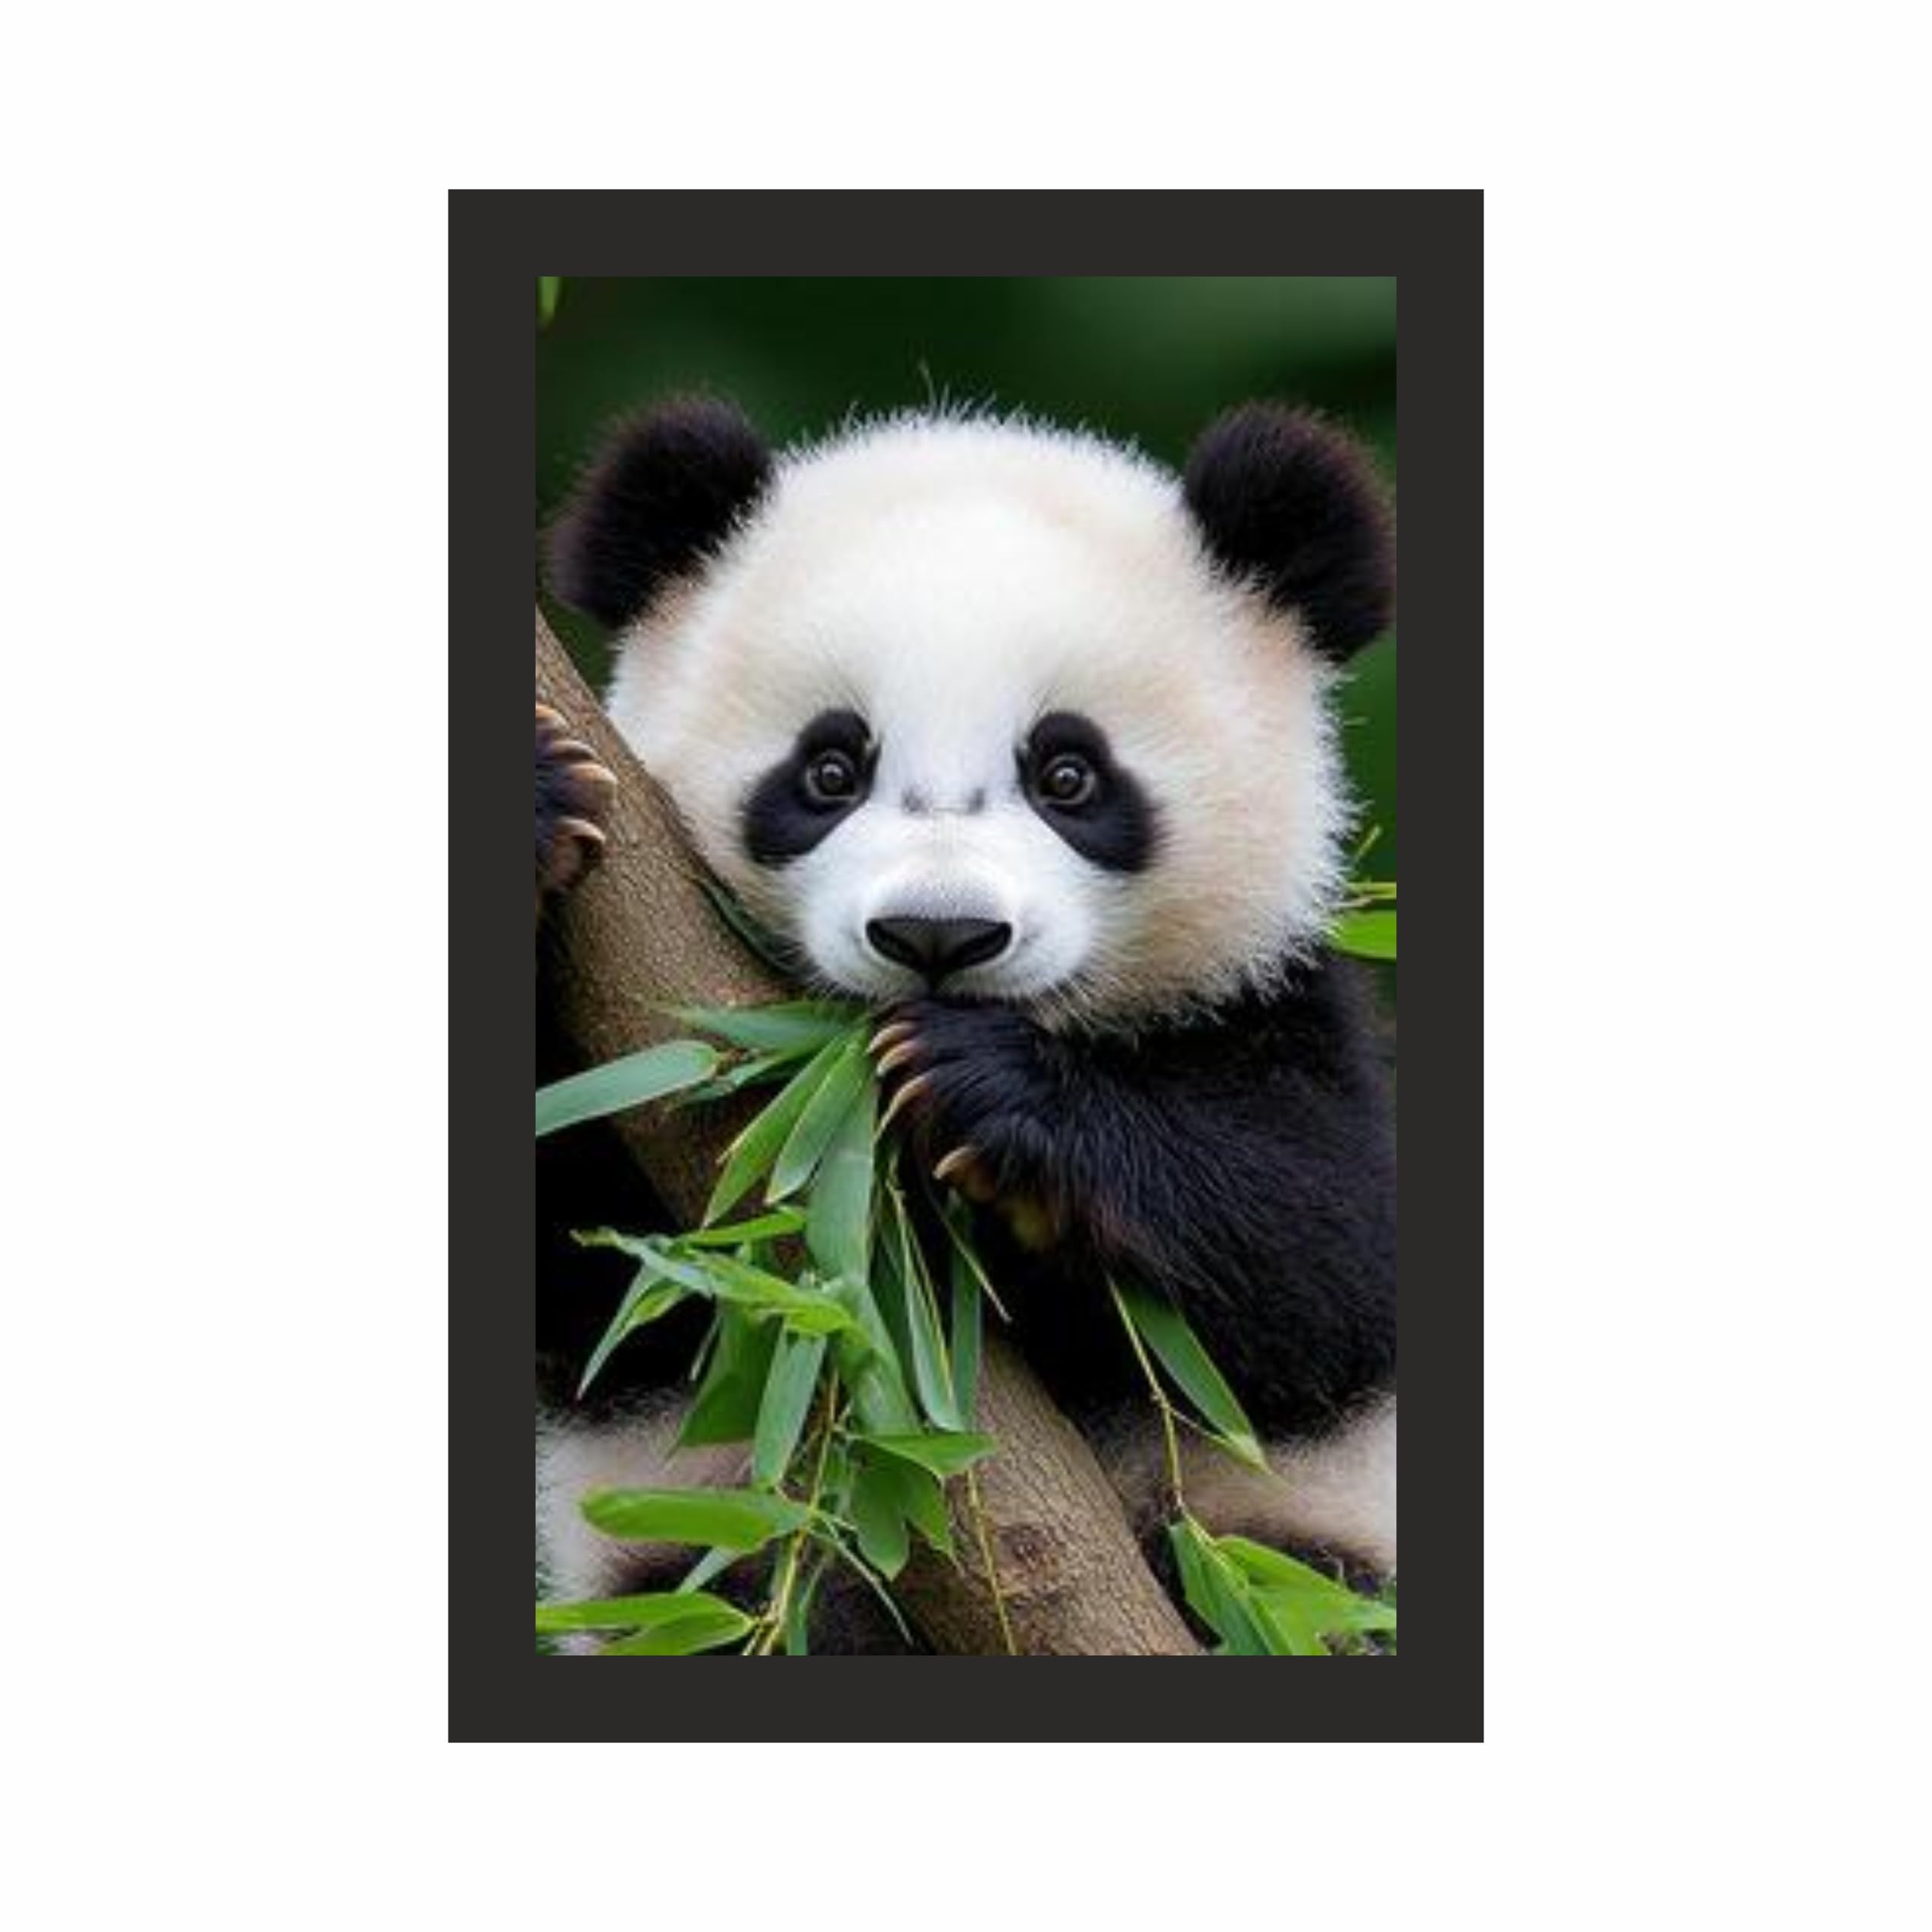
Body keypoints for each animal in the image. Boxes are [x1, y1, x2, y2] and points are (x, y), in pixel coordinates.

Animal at [535, 397, 1397, 1648]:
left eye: (1069, 774)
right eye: (830, 767)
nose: (937, 936)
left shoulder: (1272, 996)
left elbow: (1314, 1258)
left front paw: (993, 1097)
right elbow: (595, 1273)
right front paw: (539, 802)